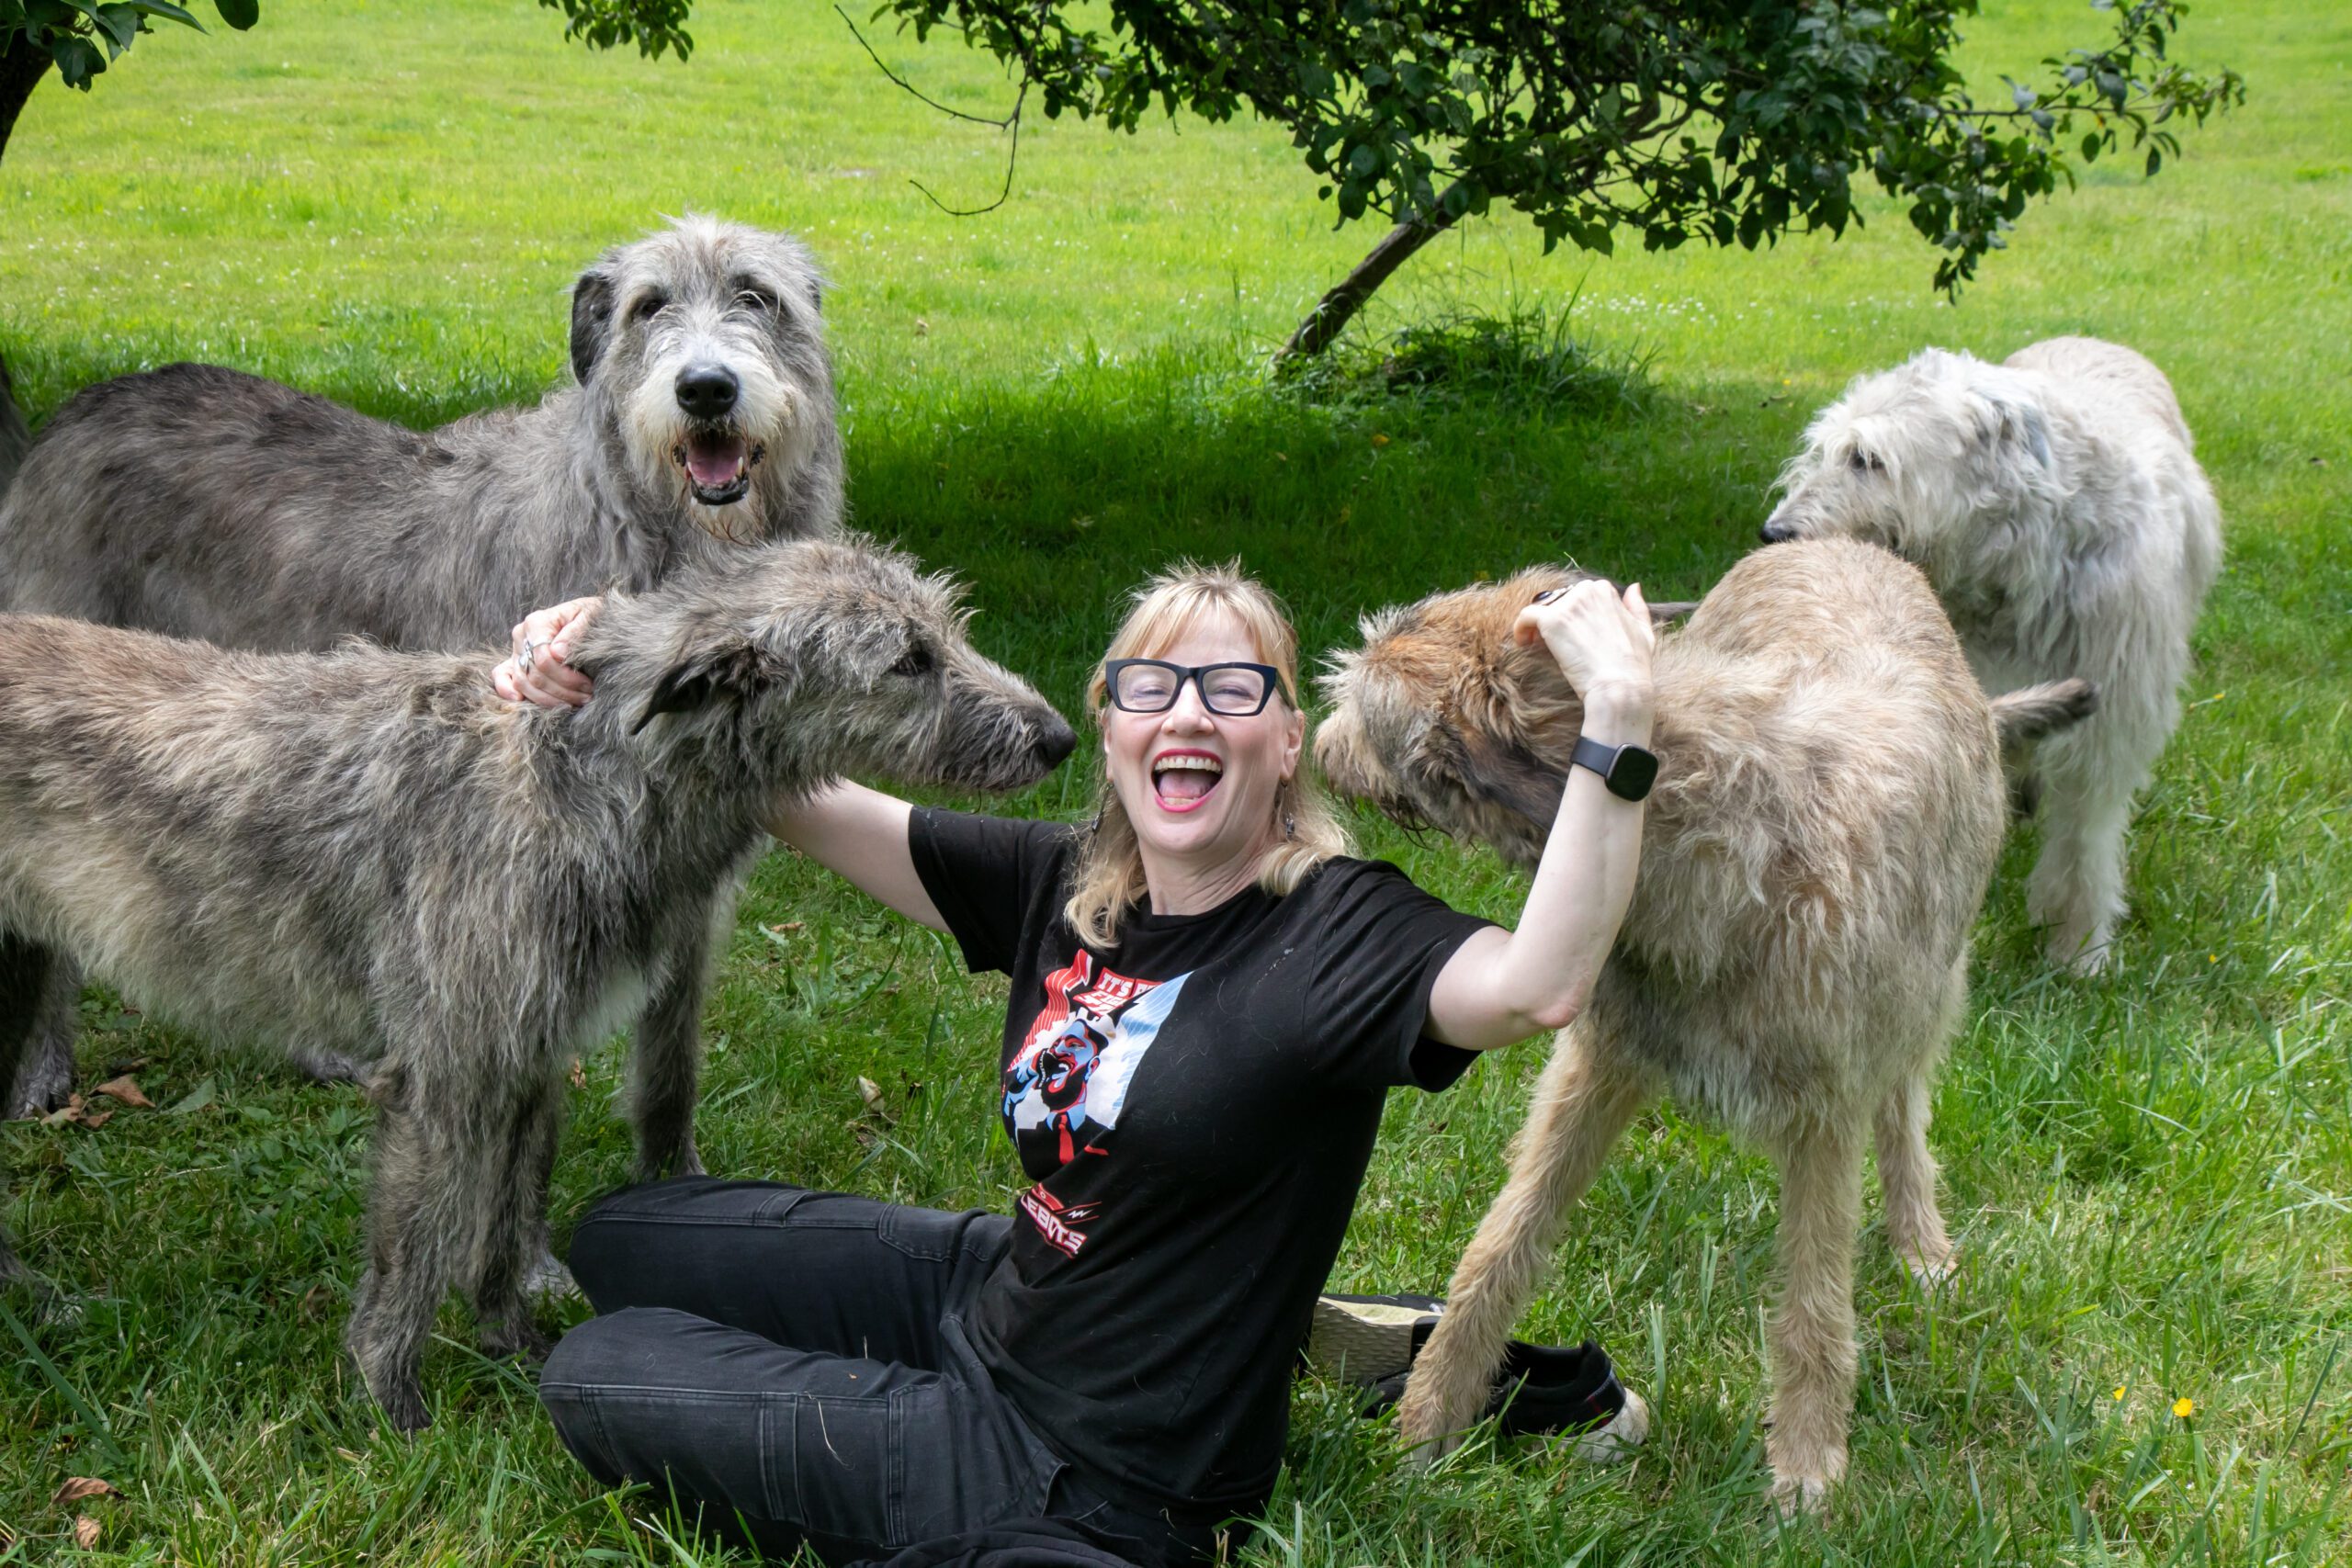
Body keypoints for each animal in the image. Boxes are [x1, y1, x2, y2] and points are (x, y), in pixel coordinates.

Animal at [0, 215, 846, 1114]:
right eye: (648, 305)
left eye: (757, 294)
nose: (707, 389)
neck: (640, 523)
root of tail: (80, 406)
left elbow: (670, 1063)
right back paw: (42, 1067)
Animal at [0, 540, 1077, 1438]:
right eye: (907, 662)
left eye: (948, 631)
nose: (1060, 737)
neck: (583, 775)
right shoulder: (447, 1073)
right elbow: (416, 1253)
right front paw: (393, 1416)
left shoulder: (527, 1055)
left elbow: (503, 1221)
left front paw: (512, 1347)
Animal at [1326, 540, 2098, 1504]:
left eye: (1368, 709)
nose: (1316, 747)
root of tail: (1844, 540)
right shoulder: (1599, 1061)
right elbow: (1503, 1242)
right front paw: (1428, 1423)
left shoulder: (1826, 1112)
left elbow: (1814, 1301)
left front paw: (1807, 1463)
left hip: (1924, 988)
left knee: (1905, 1103)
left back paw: (1922, 1244)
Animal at [1769, 341, 2220, 968]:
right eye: (1825, 449)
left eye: (1867, 459)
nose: (1773, 533)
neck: (2015, 570)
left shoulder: (2107, 719)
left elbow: (2084, 840)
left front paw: (2078, 949)